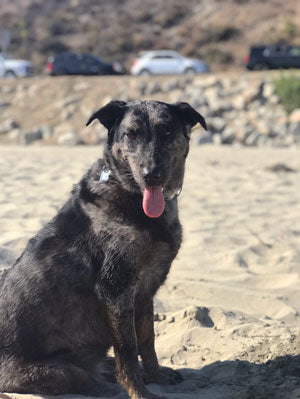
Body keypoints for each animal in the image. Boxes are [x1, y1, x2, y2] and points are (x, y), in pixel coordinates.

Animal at [0, 100, 206, 399]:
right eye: (131, 134)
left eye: (167, 132)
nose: (151, 176)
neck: (130, 195)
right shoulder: (116, 290)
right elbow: (128, 351)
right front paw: (140, 392)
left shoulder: (144, 292)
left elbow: (147, 341)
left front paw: (156, 376)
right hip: (59, 371)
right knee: (87, 378)